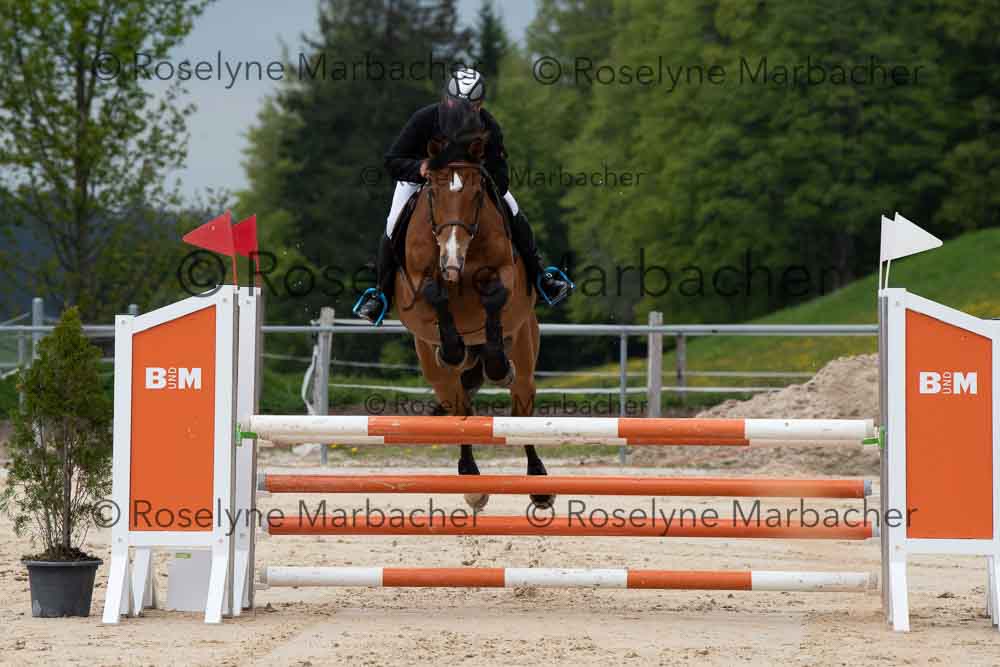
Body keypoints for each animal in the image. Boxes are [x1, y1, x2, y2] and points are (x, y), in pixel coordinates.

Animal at [392, 136, 551, 512]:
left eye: (478, 194)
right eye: (433, 193)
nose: (451, 256)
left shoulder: (505, 273)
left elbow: (494, 296)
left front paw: (496, 364)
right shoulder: (417, 282)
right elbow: (434, 294)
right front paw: (452, 349)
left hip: (524, 353)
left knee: (521, 410)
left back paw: (538, 483)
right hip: (439, 377)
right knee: (460, 413)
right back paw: (472, 482)